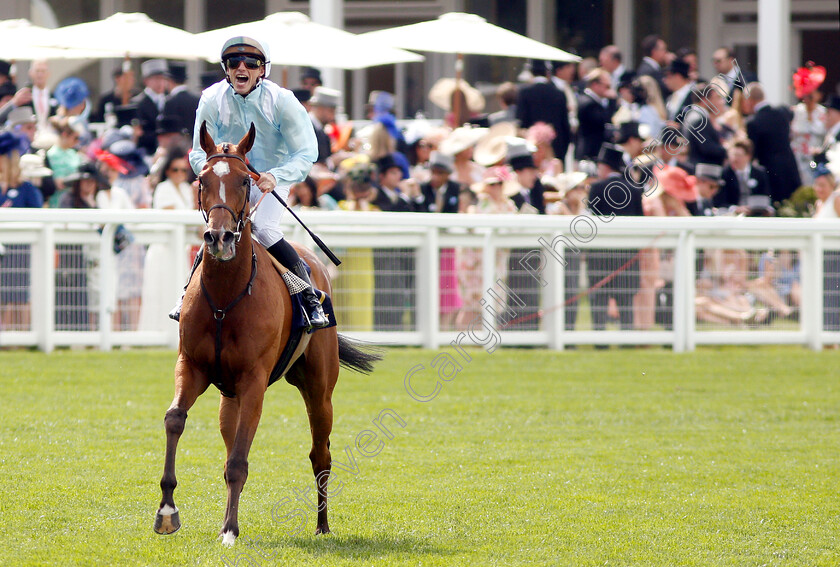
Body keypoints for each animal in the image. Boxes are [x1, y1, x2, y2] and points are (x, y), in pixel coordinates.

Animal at [154, 121, 380, 544]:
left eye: (245, 181)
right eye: (202, 179)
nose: (219, 238)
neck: (225, 297)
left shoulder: (254, 379)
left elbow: (240, 461)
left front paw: (229, 530)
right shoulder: (192, 365)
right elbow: (176, 420)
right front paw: (167, 512)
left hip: (319, 388)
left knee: (320, 453)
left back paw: (322, 525)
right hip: (229, 395)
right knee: (231, 443)